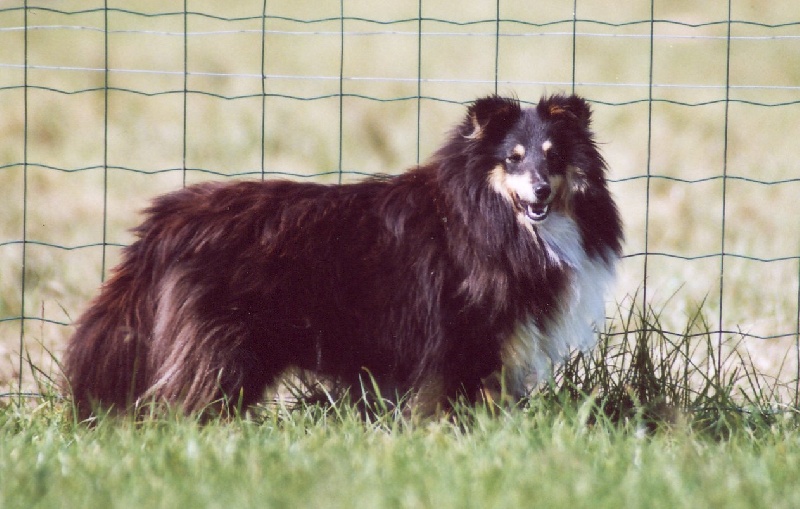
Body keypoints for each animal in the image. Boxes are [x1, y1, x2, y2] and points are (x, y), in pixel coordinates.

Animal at [62, 94, 624, 416]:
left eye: (554, 156)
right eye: (513, 158)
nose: (540, 194)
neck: (496, 217)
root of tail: (170, 218)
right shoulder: (466, 332)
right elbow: (455, 398)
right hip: (226, 343)